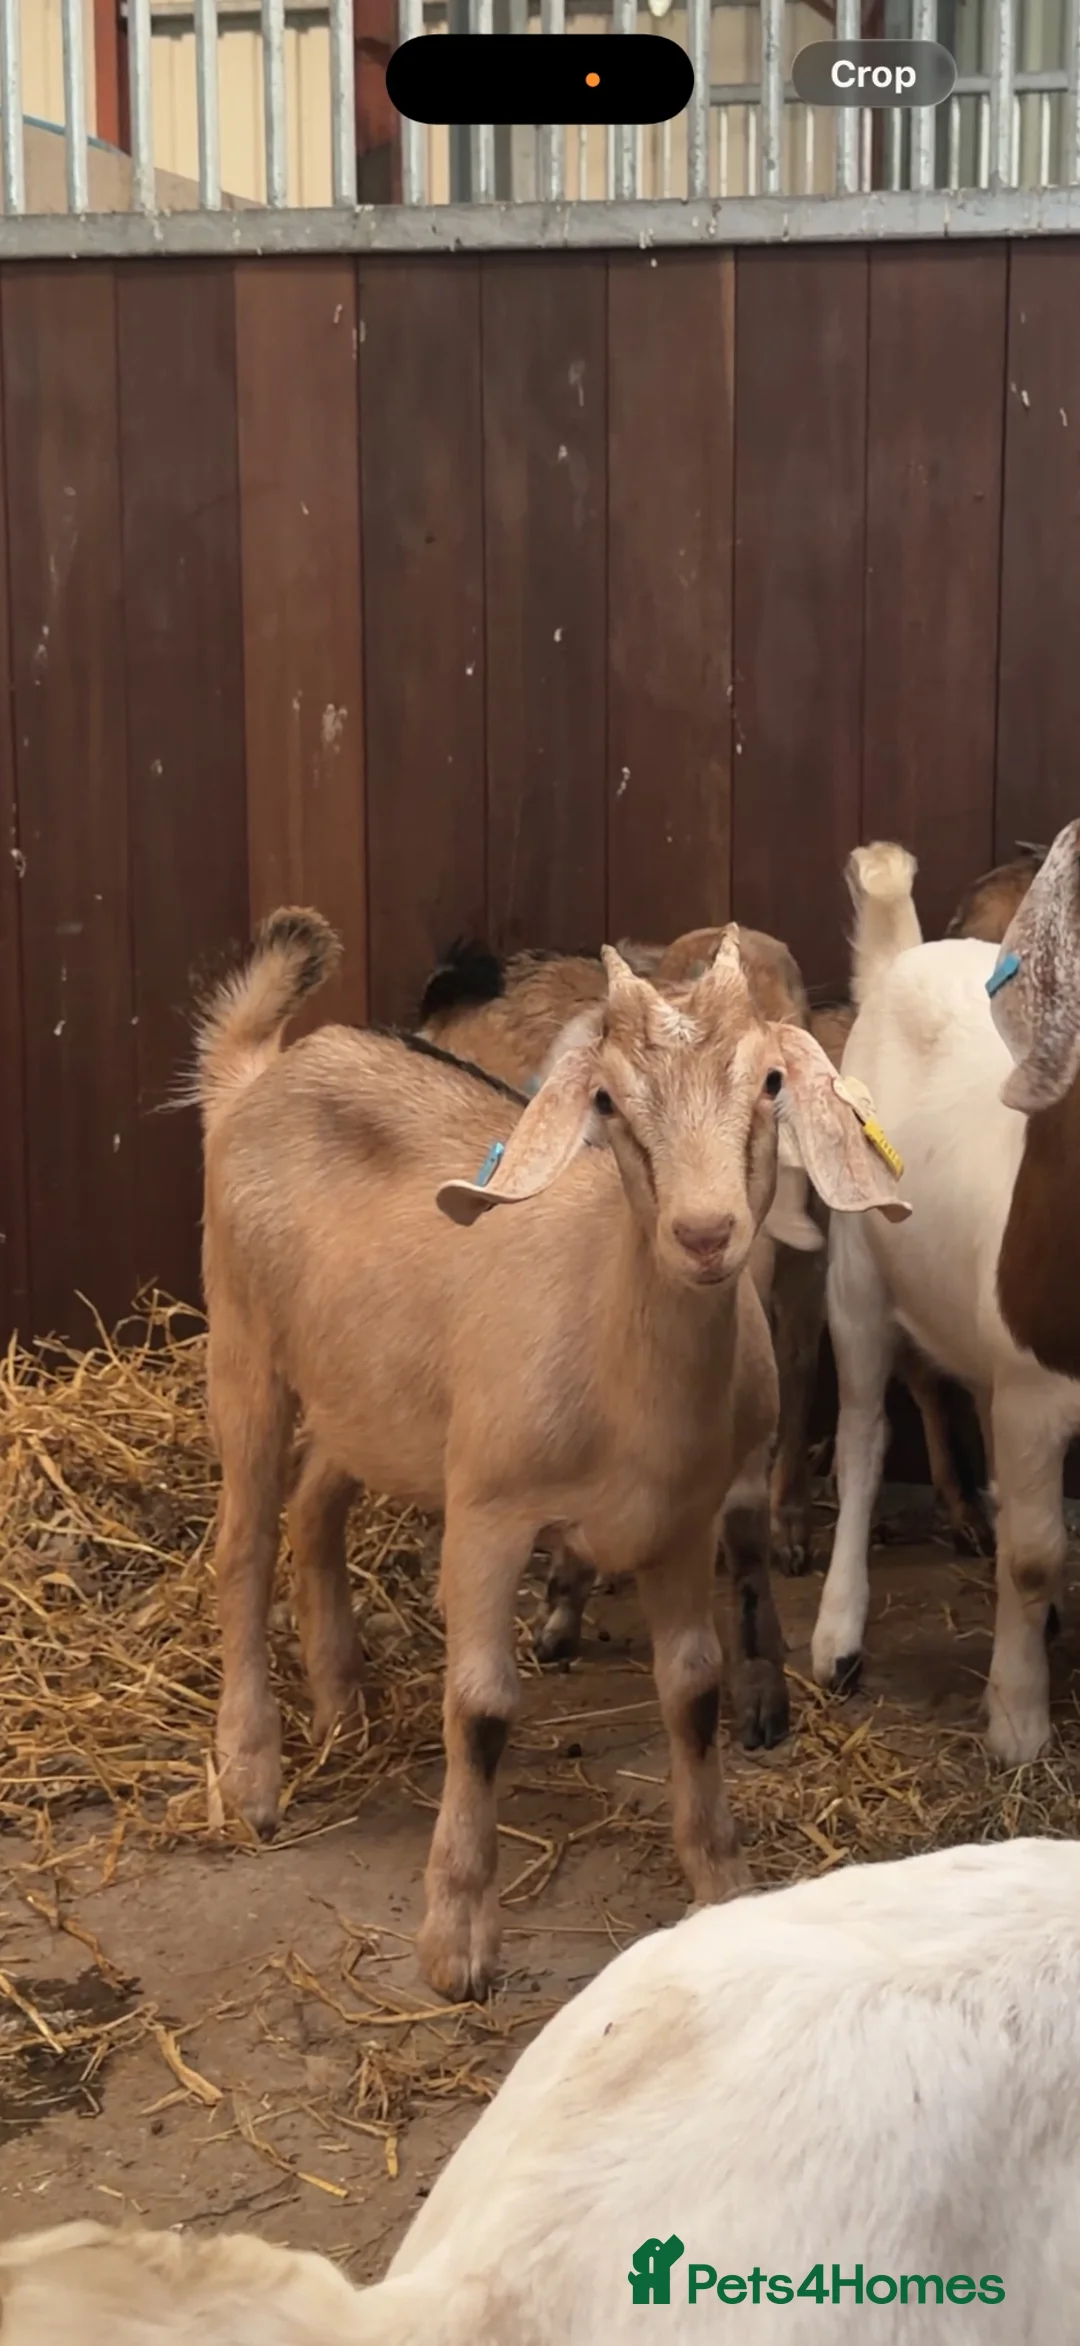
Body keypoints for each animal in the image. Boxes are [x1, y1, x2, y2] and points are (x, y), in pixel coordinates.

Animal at [197, 913, 902, 1998]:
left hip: (371, 1394)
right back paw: (251, 1772)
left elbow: (693, 1688)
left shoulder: (678, 1527)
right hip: (245, 1341)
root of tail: (264, 1072)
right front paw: (458, 1937)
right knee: (241, 1545)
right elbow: (483, 1707)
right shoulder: (489, 1508)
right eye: (606, 1099)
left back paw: (345, 1709)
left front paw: (721, 1879)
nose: (706, 1234)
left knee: (316, 1506)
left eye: (772, 1083)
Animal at [811, 839, 1080, 1761]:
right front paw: (1017, 1720)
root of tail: (902, 956)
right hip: (856, 1277)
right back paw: (837, 1635)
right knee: (861, 1439)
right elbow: (1034, 1555)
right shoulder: (1038, 1387)